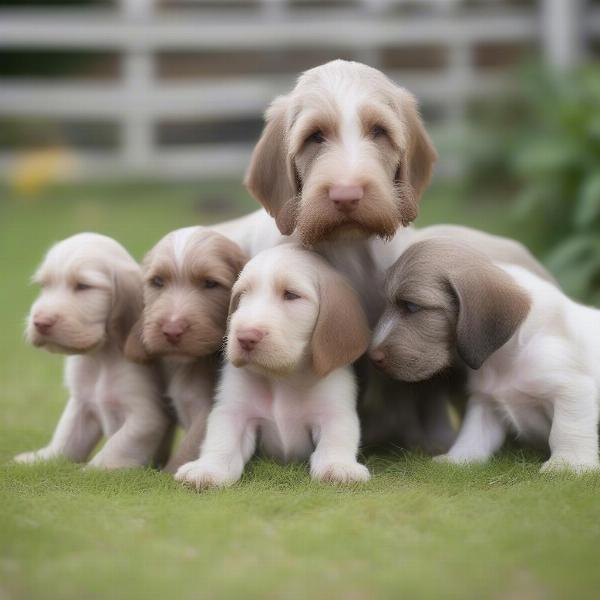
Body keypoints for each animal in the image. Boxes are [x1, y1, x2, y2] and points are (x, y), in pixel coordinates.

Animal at [15, 233, 169, 468]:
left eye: (83, 286)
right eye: (44, 285)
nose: (40, 322)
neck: (100, 359)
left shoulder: (145, 416)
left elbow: (116, 447)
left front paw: (92, 469)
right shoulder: (82, 405)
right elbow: (64, 440)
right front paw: (41, 459)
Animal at [125, 226, 247, 474]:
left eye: (210, 283)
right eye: (158, 281)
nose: (172, 330)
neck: (185, 365)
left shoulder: (206, 413)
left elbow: (186, 451)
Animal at [173, 244, 370, 488]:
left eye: (291, 295)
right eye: (243, 294)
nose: (245, 337)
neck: (282, 376)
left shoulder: (334, 411)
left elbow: (337, 438)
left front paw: (338, 466)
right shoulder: (234, 412)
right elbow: (221, 441)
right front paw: (208, 468)